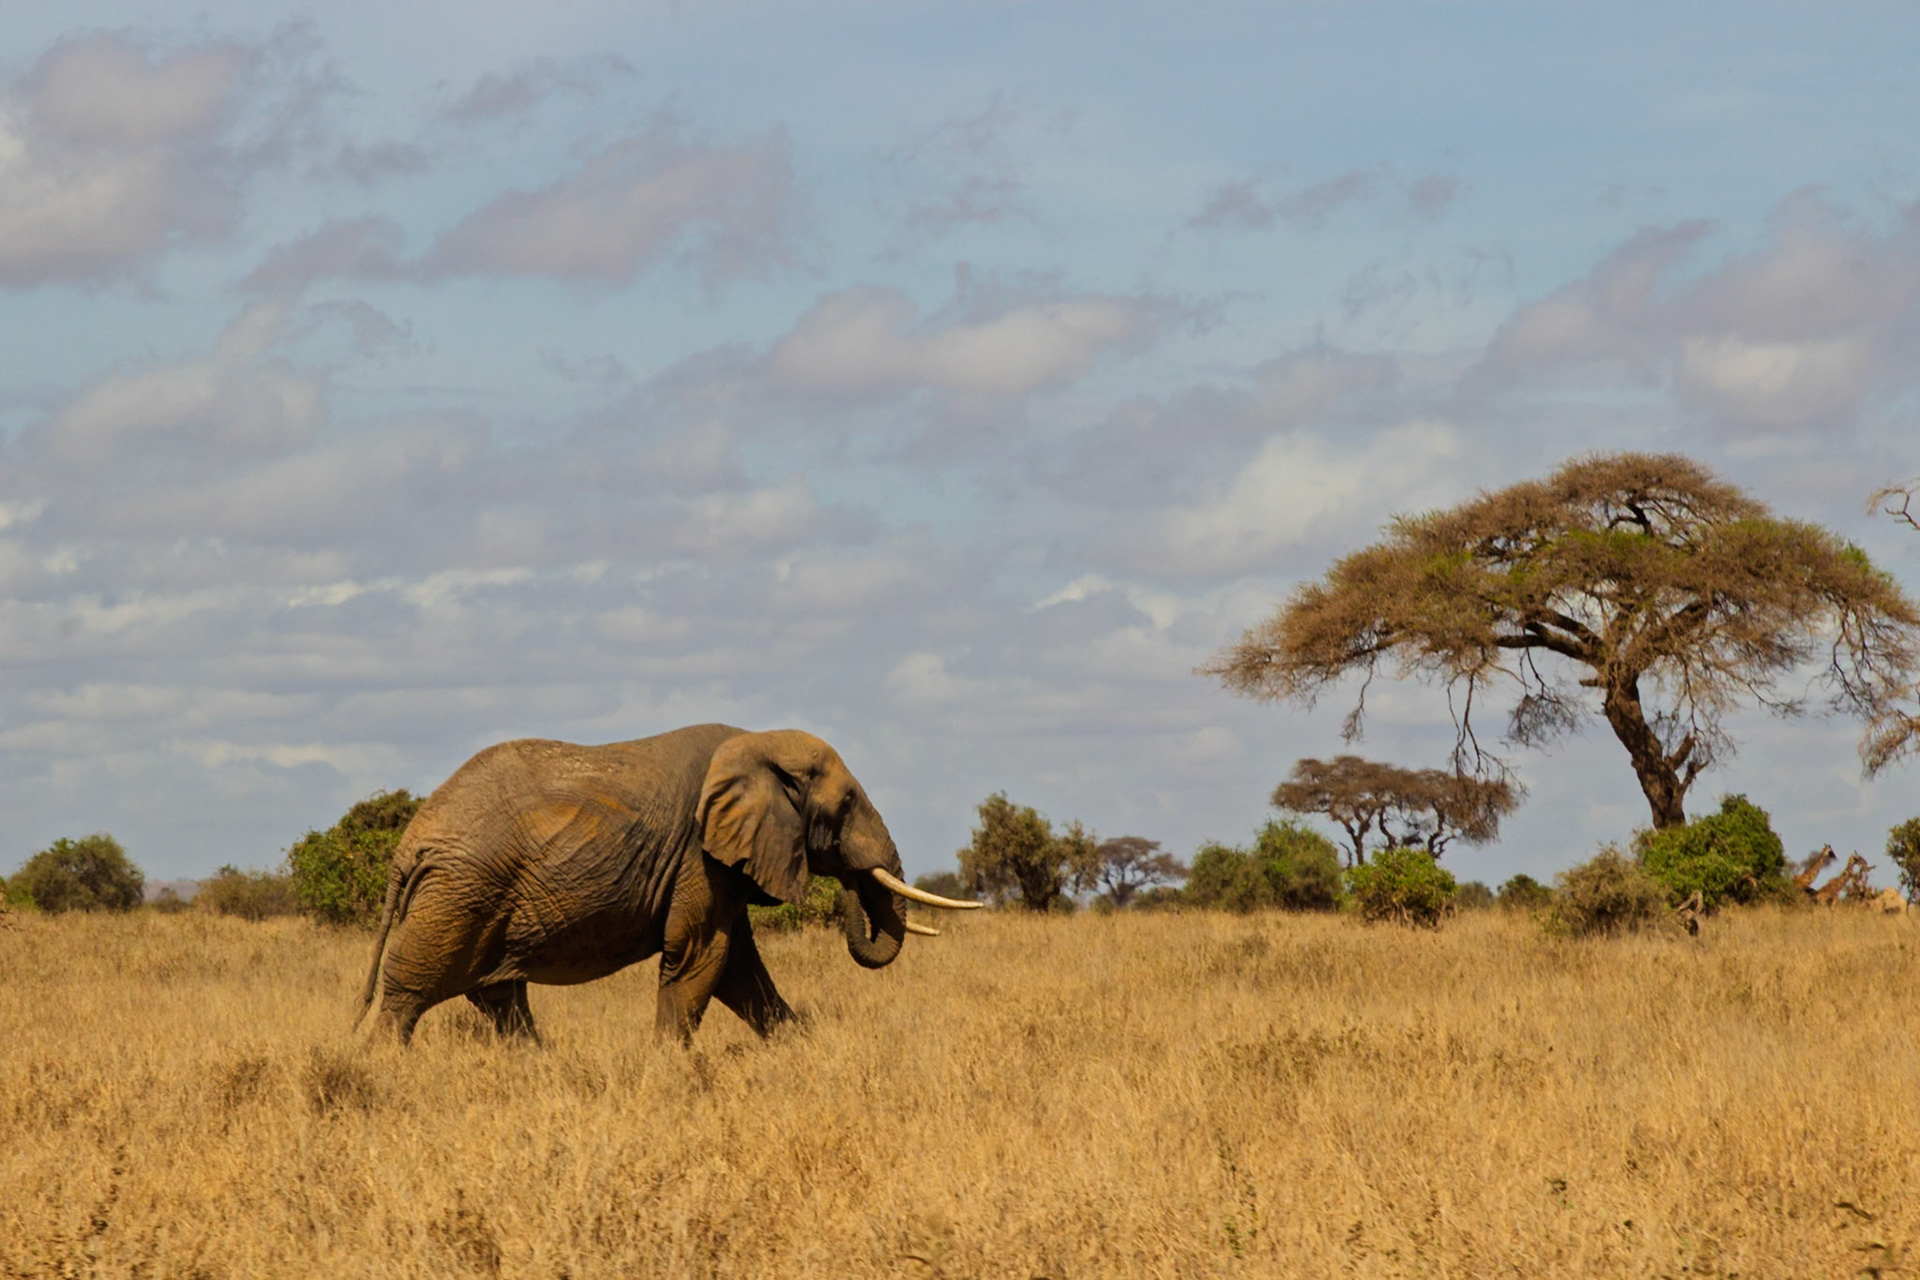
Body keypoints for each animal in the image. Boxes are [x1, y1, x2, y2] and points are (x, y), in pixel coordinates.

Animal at [354, 723, 978, 1044]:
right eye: (846, 804)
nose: (848, 873)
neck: (755, 742)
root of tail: (408, 844)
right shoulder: (697, 855)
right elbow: (703, 955)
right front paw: (669, 1070)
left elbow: (739, 968)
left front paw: (803, 1051)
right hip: (460, 893)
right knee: (409, 994)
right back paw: (382, 1068)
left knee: (499, 997)